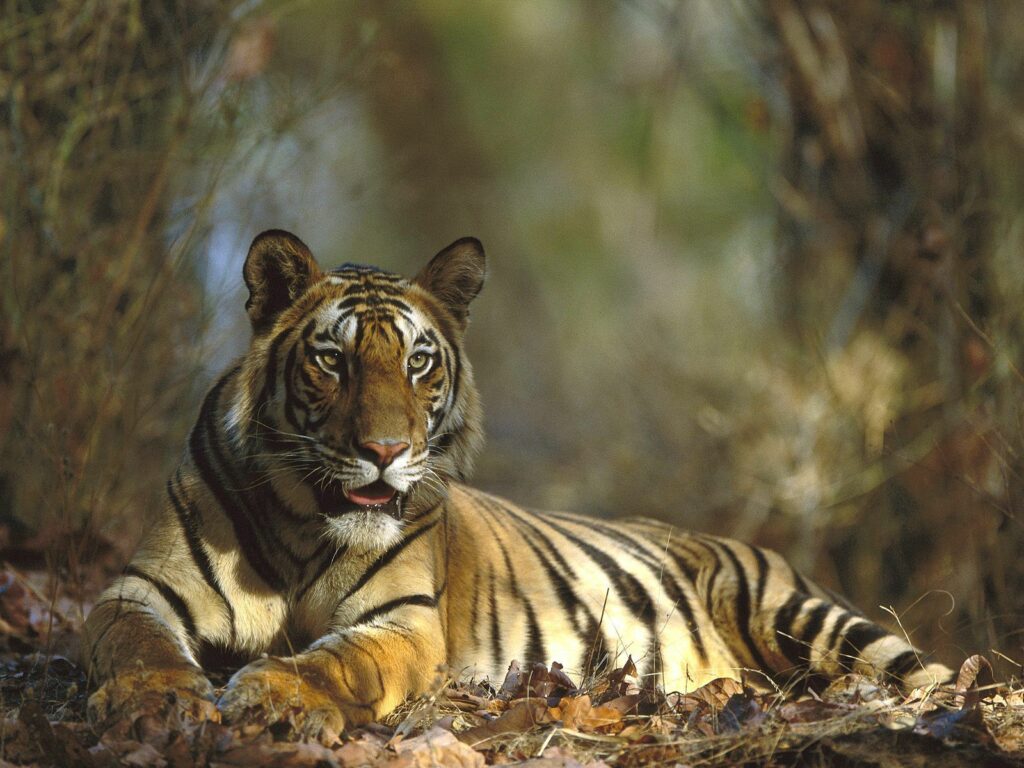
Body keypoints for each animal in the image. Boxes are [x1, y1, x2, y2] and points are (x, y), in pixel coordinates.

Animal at [83, 230, 953, 736]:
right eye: (331, 360)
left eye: (418, 361)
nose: (385, 450)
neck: (304, 523)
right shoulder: (138, 589)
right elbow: (132, 644)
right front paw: (156, 700)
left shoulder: (402, 621)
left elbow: (333, 662)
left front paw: (267, 693)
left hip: (806, 618)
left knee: (929, 677)